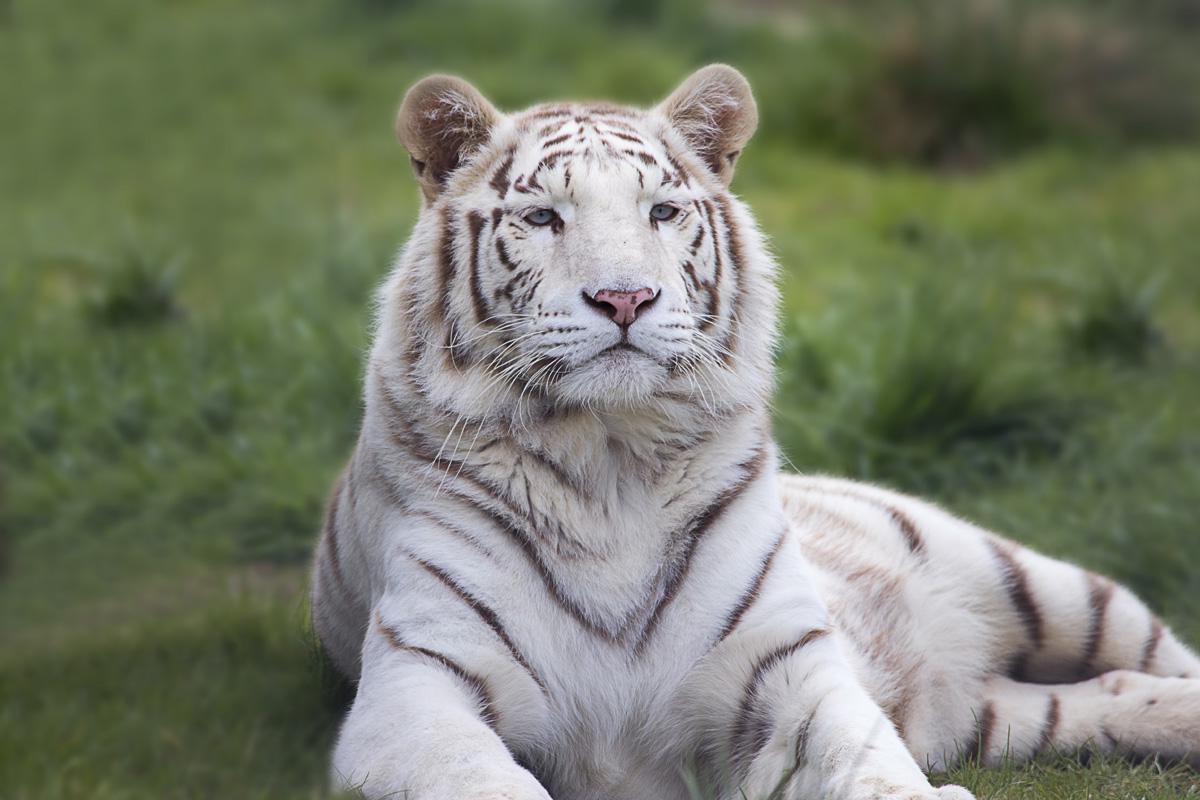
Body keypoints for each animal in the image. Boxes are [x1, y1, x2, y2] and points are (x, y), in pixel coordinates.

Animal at [311, 65, 1200, 800]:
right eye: (542, 217)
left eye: (662, 211)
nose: (626, 298)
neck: (608, 458)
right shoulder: (417, 690)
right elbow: (484, 781)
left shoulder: (787, 667)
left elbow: (867, 758)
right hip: (997, 711)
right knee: (1105, 695)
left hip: (1039, 583)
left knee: (1154, 656)